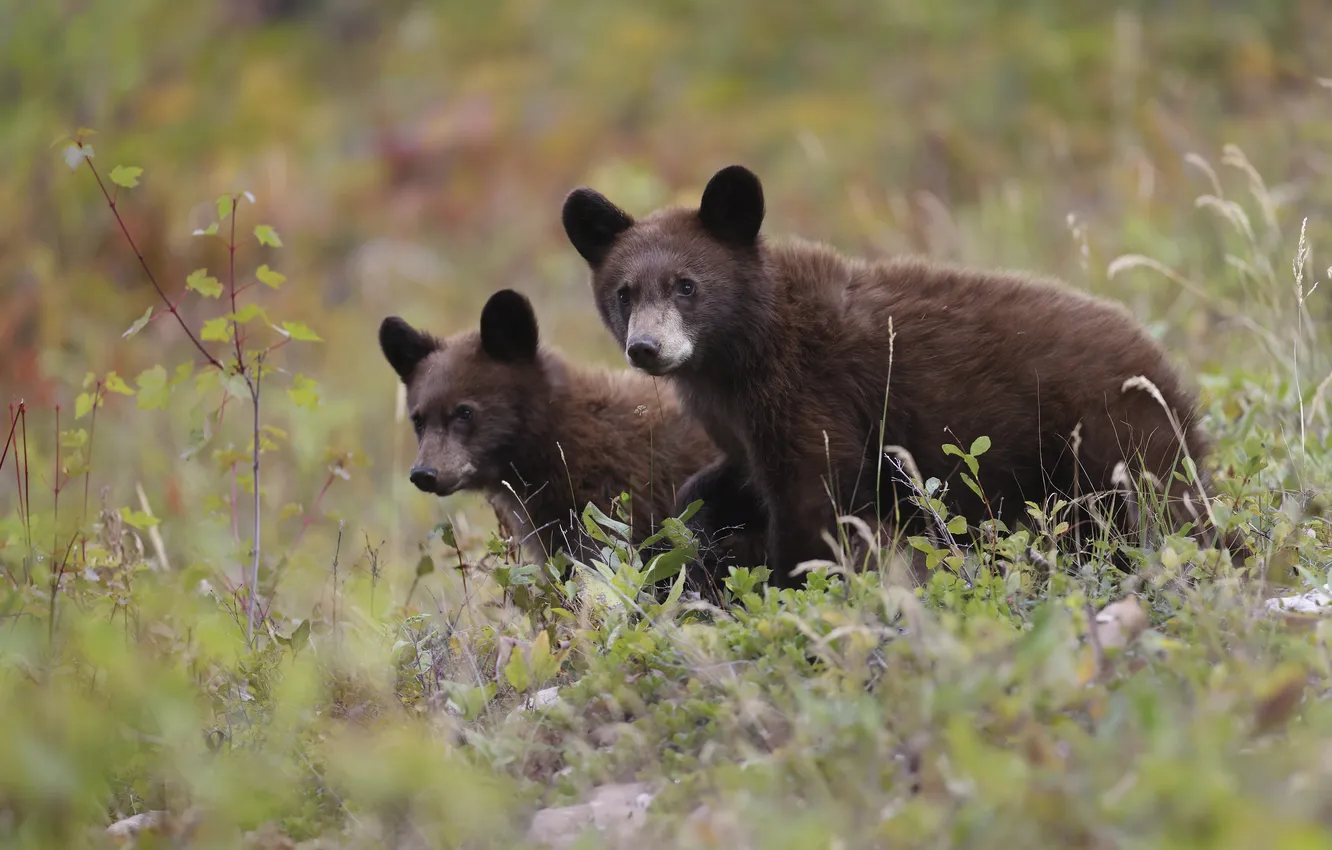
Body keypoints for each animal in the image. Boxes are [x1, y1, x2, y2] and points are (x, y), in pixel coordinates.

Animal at [561, 163, 1250, 589]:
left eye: (686, 285)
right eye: (624, 292)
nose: (647, 348)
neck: (740, 354)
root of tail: (1165, 366)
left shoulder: (809, 391)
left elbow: (817, 500)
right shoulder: (741, 420)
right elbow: (728, 480)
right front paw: (700, 519)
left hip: (1113, 434)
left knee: (1164, 512)